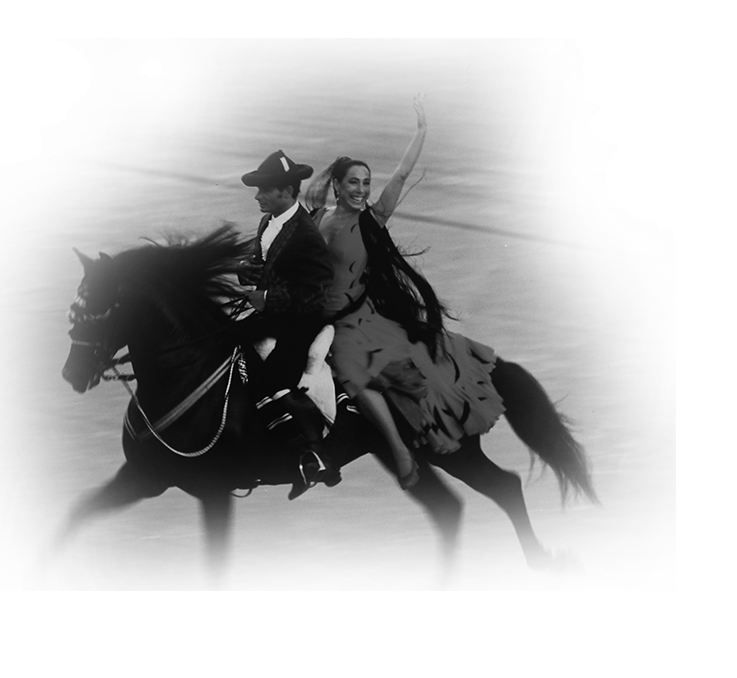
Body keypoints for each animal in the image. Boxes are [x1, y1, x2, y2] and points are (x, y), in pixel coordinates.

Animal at [19, 225, 600, 591]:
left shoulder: (212, 491)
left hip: (448, 447)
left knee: (502, 487)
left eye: (101, 308)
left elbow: (215, 565)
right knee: (449, 510)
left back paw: (547, 559)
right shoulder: (146, 476)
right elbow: (82, 509)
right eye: (76, 305)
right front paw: (33, 576)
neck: (186, 375)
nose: (73, 374)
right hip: (404, 456)